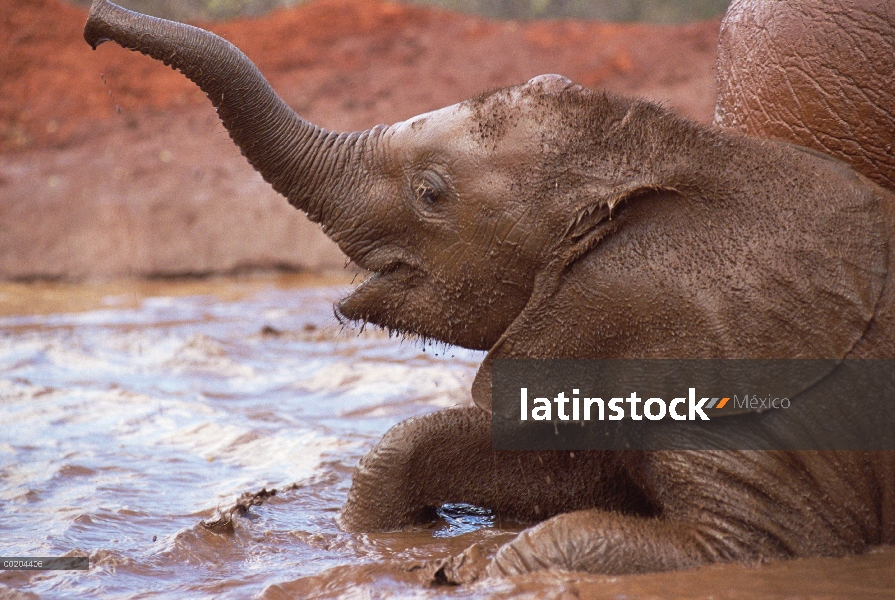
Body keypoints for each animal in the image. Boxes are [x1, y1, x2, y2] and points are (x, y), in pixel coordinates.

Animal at [84, 0, 895, 580]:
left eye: (430, 193)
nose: (92, 26)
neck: (676, 156)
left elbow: (754, 545)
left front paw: (475, 566)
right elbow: (553, 466)